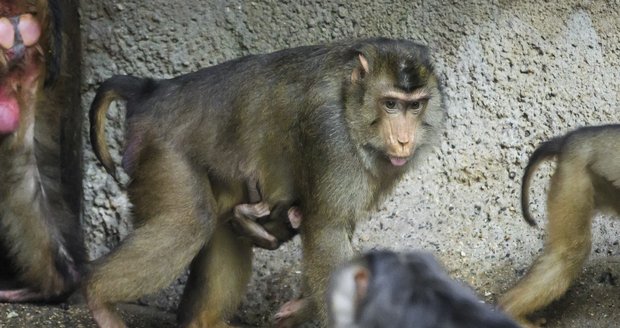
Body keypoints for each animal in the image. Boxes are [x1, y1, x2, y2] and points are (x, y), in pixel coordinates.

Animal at [88, 37, 446, 326]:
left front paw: (303, 307)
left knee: (221, 225)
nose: (404, 141)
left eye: (415, 106)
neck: (348, 102)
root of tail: (152, 91)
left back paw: (203, 320)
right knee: (190, 223)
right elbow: (327, 231)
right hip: (162, 150)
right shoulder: (331, 136)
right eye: (390, 104)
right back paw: (97, 296)